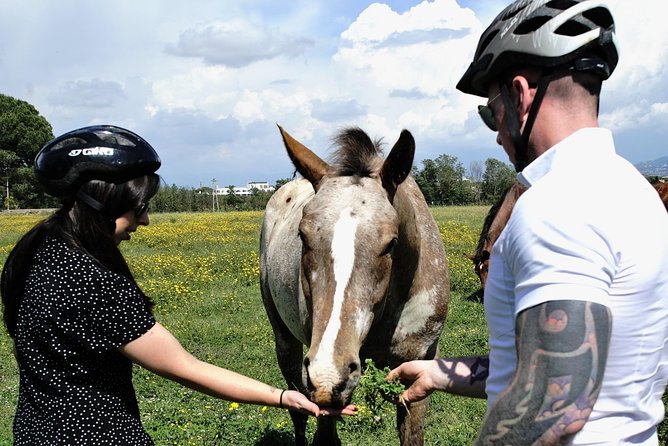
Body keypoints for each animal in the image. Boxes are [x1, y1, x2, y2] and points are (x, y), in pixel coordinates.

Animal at [260, 123, 448, 444]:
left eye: (391, 243)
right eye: (302, 236)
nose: (328, 375)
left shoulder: (418, 370)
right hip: (285, 341)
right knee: (297, 410)